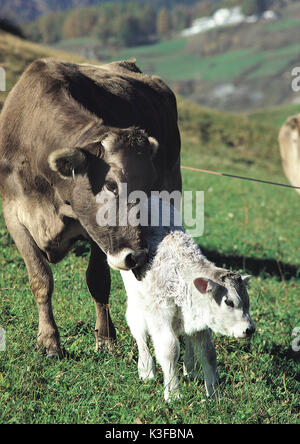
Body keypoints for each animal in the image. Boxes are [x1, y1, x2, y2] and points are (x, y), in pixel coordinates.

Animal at [0, 59, 182, 358]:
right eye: (109, 184)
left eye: (148, 186)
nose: (137, 256)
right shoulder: (14, 216)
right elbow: (40, 279)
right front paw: (49, 341)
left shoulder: (99, 234)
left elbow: (98, 281)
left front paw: (105, 339)